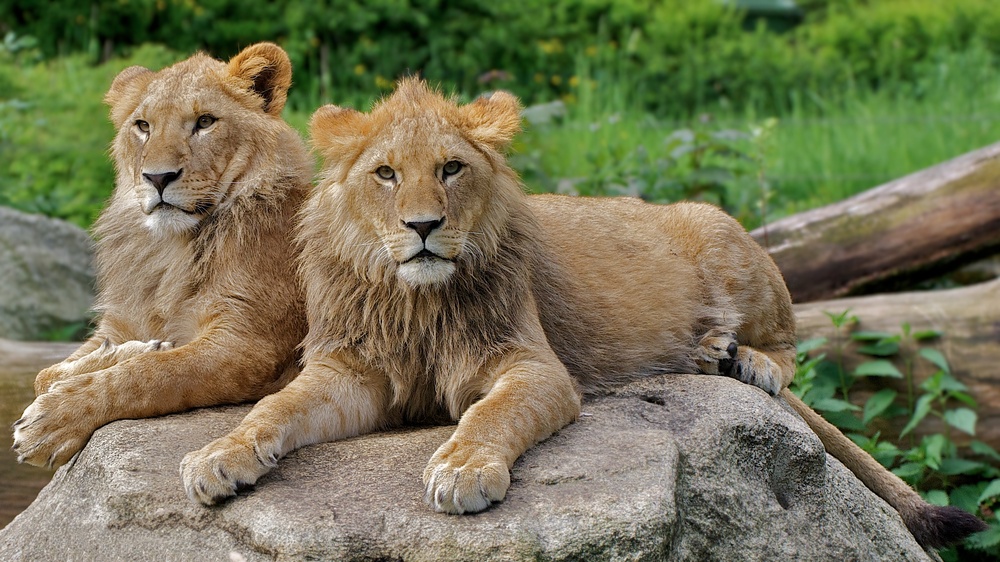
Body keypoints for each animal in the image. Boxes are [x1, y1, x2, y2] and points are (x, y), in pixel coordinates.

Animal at [10, 40, 308, 468]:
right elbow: (44, 375)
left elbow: (152, 374)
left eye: (204, 121)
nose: (157, 177)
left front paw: (53, 421)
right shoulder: (119, 322)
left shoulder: (249, 345)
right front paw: (126, 351)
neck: (170, 249)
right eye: (143, 126)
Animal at [180, 76, 984, 544]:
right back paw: (708, 351)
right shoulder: (351, 372)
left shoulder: (535, 367)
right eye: (385, 175)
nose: (423, 226)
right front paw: (220, 456)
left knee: (791, 346)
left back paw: (744, 359)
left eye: (452, 168)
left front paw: (464, 468)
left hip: (723, 232)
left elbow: (491, 414)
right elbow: (276, 407)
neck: (417, 300)